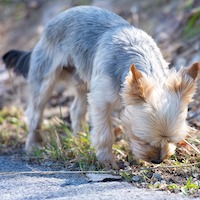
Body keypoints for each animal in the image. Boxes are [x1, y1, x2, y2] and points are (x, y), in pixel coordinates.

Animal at [2, 5, 199, 169]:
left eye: (172, 140)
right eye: (143, 140)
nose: (158, 160)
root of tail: (54, 20)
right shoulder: (101, 100)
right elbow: (105, 133)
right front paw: (107, 161)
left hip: (82, 79)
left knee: (76, 109)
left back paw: (78, 139)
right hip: (45, 77)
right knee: (35, 112)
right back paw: (33, 144)